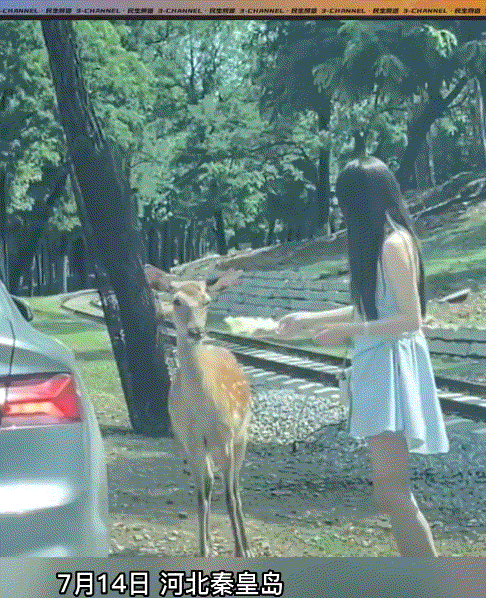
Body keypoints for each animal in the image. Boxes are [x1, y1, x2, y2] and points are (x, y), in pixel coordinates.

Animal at [145, 264, 252, 557]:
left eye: (207, 301)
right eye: (176, 300)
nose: (196, 331)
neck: (202, 409)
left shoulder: (225, 437)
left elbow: (229, 496)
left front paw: (240, 551)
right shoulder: (190, 440)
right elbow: (201, 494)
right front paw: (203, 550)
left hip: (242, 436)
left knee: (236, 488)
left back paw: (246, 545)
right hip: (205, 448)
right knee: (211, 483)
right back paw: (212, 543)